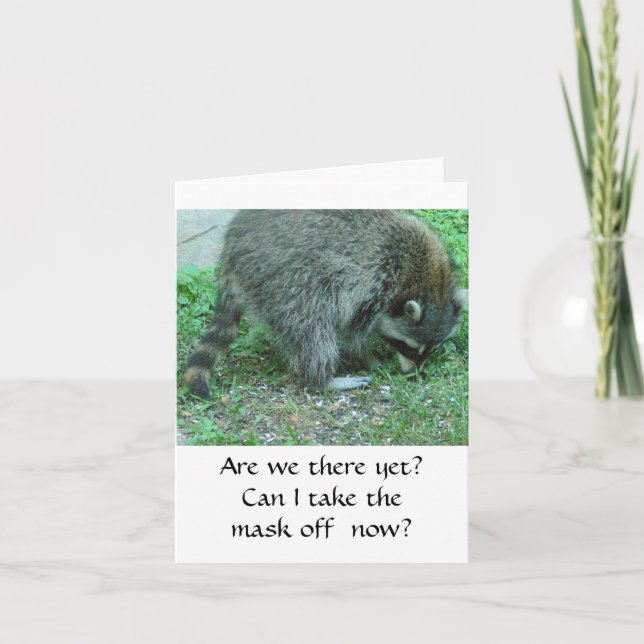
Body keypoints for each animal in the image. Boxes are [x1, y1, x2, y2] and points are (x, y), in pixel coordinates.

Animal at [184, 209, 467, 398]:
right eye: (409, 347)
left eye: (431, 348)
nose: (414, 374)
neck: (426, 280)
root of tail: (232, 246)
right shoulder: (372, 284)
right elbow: (353, 334)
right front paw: (369, 358)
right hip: (284, 278)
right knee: (311, 328)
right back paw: (321, 379)